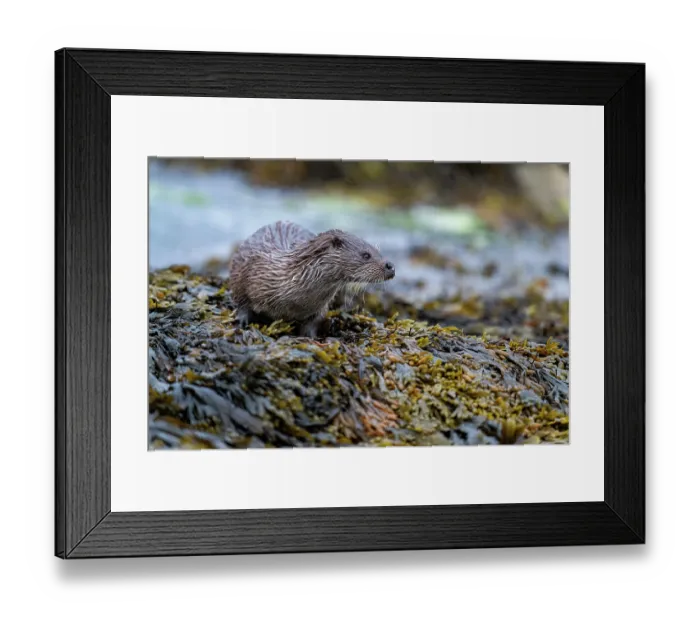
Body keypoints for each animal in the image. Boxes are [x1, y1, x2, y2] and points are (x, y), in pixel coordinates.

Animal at [229, 221, 395, 337]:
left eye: (378, 251)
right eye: (366, 255)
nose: (390, 266)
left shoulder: (319, 307)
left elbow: (315, 321)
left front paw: (311, 337)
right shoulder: (246, 273)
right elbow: (241, 300)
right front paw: (241, 320)